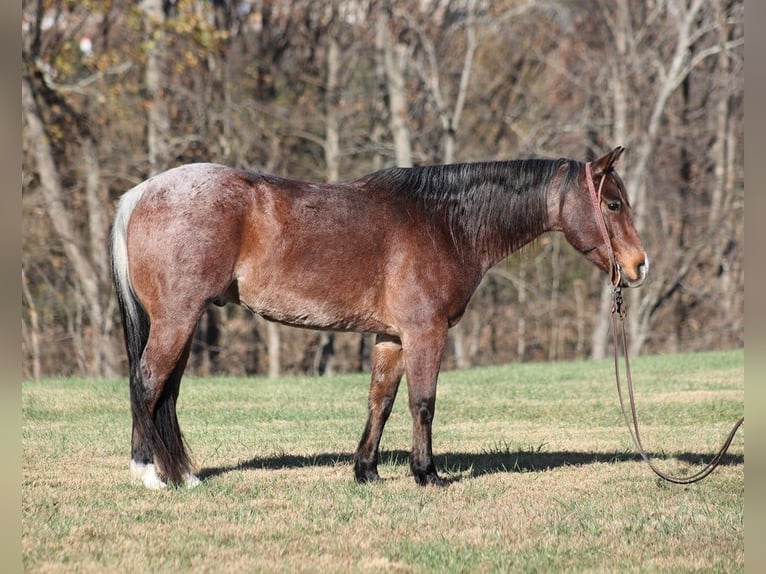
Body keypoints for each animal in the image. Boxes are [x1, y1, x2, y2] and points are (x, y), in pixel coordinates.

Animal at [109, 146, 648, 488]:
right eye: (612, 203)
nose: (640, 266)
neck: (443, 223)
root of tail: (141, 193)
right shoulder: (424, 333)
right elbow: (422, 403)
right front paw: (426, 474)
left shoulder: (391, 337)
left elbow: (381, 402)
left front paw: (366, 470)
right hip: (177, 320)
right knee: (148, 382)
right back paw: (148, 474)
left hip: (182, 323)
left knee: (164, 391)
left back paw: (182, 475)